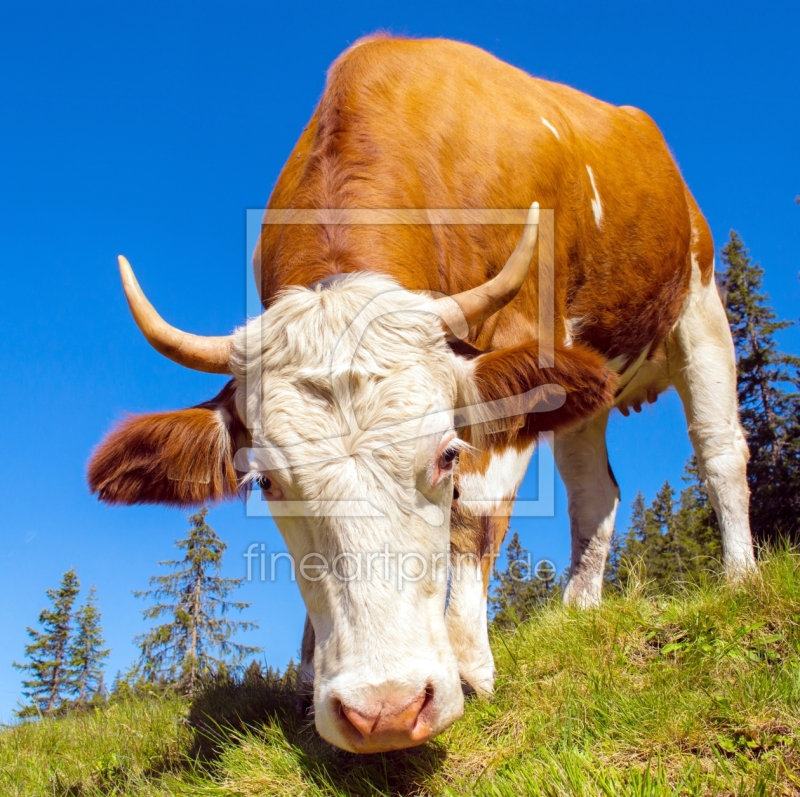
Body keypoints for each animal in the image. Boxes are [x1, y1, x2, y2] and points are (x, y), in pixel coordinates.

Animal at [89, 32, 756, 752]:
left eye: (446, 455)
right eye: (265, 481)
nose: (384, 709)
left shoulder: (519, 339)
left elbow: (475, 513)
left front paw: (469, 665)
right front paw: (308, 675)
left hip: (698, 301)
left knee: (720, 451)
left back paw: (740, 575)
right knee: (592, 491)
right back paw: (579, 608)